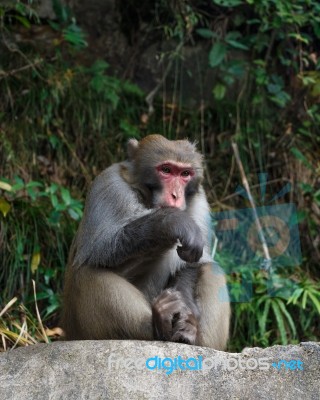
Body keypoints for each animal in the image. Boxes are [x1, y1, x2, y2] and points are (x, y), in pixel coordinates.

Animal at [60, 134, 230, 350]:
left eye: (185, 173)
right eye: (166, 170)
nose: (176, 196)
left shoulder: (199, 201)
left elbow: (193, 263)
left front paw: (186, 316)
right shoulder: (108, 185)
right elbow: (100, 250)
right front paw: (171, 222)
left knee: (212, 269)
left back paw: (192, 336)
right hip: (80, 329)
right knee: (88, 273)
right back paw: (159, 324)